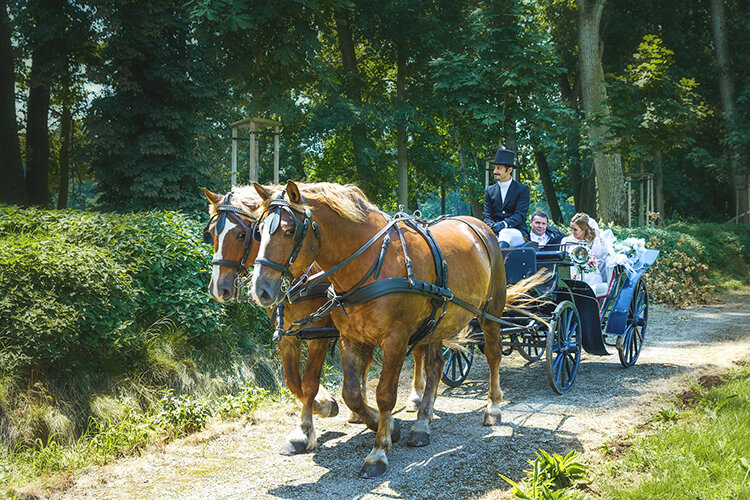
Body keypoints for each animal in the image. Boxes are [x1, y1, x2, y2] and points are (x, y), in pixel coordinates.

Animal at [250, 180, 509, 478]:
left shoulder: (395, 340)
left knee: (493, 354)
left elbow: (385, 394)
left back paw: (492, 408)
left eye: (290, 231)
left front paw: (379, 451)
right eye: (258, 231)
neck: (372, 262)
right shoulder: (351, 339)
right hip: (437, 322)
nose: (260, 289)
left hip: (491, 312)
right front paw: (388, 428)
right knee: (435, 367)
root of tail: (478, 225)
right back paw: (422, 424)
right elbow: (351, 393)